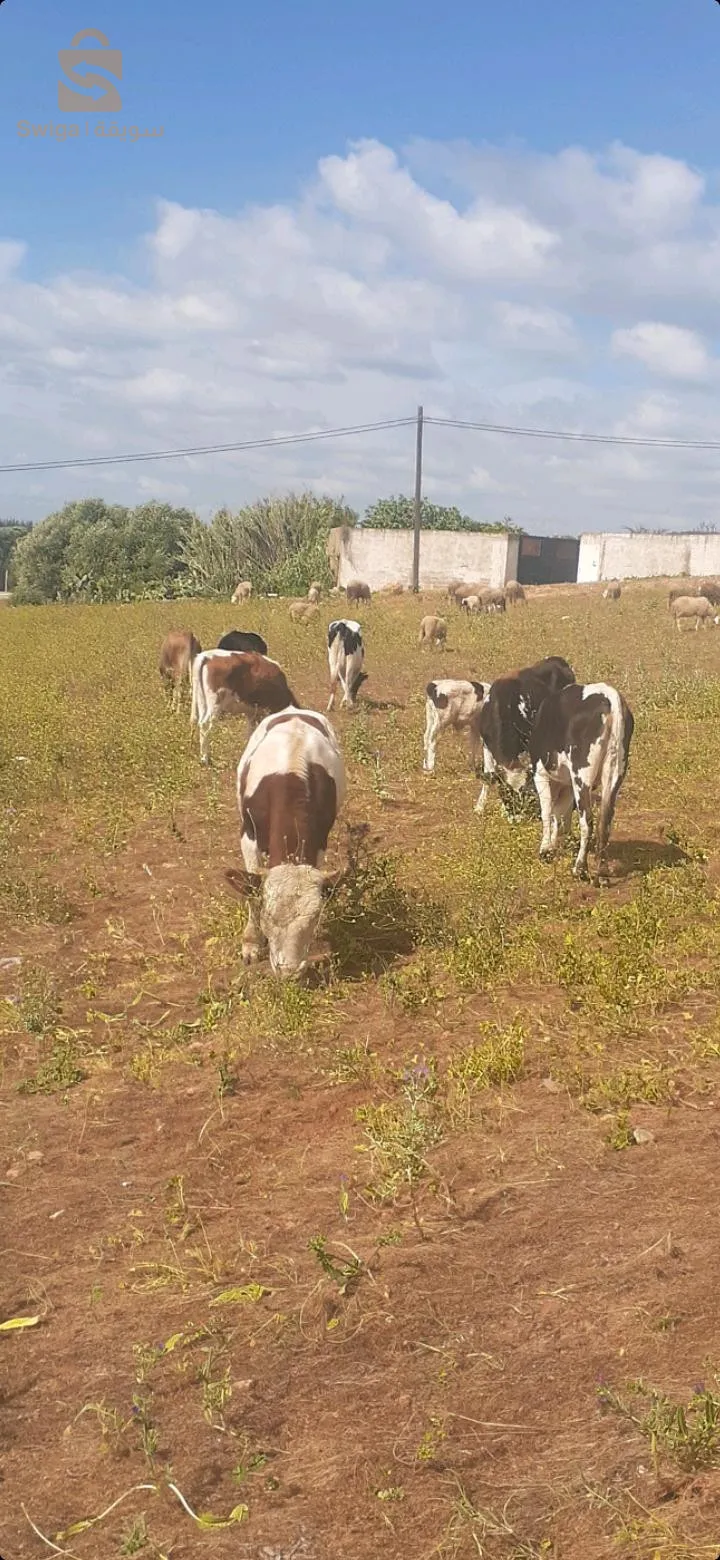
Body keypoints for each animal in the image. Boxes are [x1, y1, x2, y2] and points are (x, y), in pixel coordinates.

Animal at [225, 709, 346, 978]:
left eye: (314, 918)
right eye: (269, 916)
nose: (288, 970)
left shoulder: (319, 841)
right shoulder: (247, 834)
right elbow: (251, 891)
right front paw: (251, 943)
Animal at [470, 656, 576, 815]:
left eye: (523, 792)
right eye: (505, 792)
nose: (516, 817)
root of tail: (557, 660)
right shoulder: (486, 745)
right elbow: (489, 776)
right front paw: (480, 806)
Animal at [530, 682, 634, 881]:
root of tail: (610, 697)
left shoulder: (541, 774)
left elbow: (547, 812)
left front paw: (545, 849)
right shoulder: (567, 784)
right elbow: (560, 816)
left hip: (582, 775)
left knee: (588, 821)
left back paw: (580, 868)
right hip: (614, 773)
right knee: (604, 822)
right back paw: (601, 872)